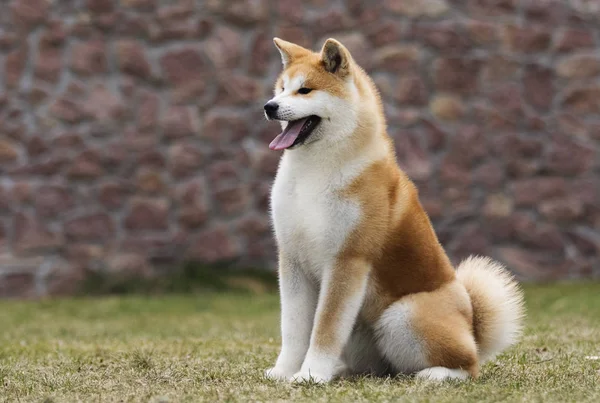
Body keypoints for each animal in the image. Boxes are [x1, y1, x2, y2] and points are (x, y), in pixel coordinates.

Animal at [262, 38, 524, 386]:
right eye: (281, 88)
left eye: (304, 90)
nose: (269, 106)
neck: (314, 172)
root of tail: (472, 331)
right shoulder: (292, 258)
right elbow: (292, 330)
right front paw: (284, 372)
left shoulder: (347, 260)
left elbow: (325, 329)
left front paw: (310, 375)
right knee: (380, 368)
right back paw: (344, 371)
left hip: (403, 316)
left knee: (466, 366)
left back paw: (436, 374)